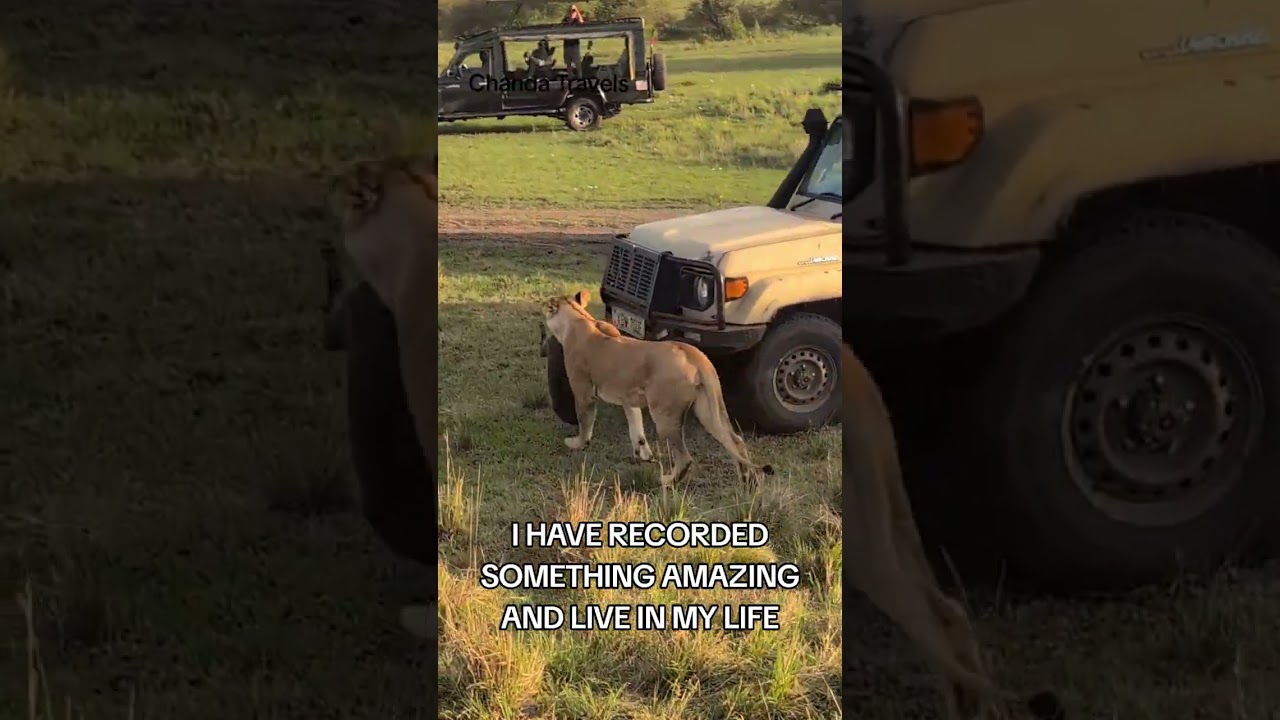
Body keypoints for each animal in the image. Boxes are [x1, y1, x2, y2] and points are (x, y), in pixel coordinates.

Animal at [542, 290, 773, 487]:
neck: (578, 319)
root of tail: (692, 353)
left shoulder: (583, 391)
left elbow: (584, 421)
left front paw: (577, 443)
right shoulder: (628, 397)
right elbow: (636, 428)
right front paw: (643, 455)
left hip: (664, 413)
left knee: (685, 458)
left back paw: (667, 481)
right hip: (709, 409)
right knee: (736, 440)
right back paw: (748, 479)